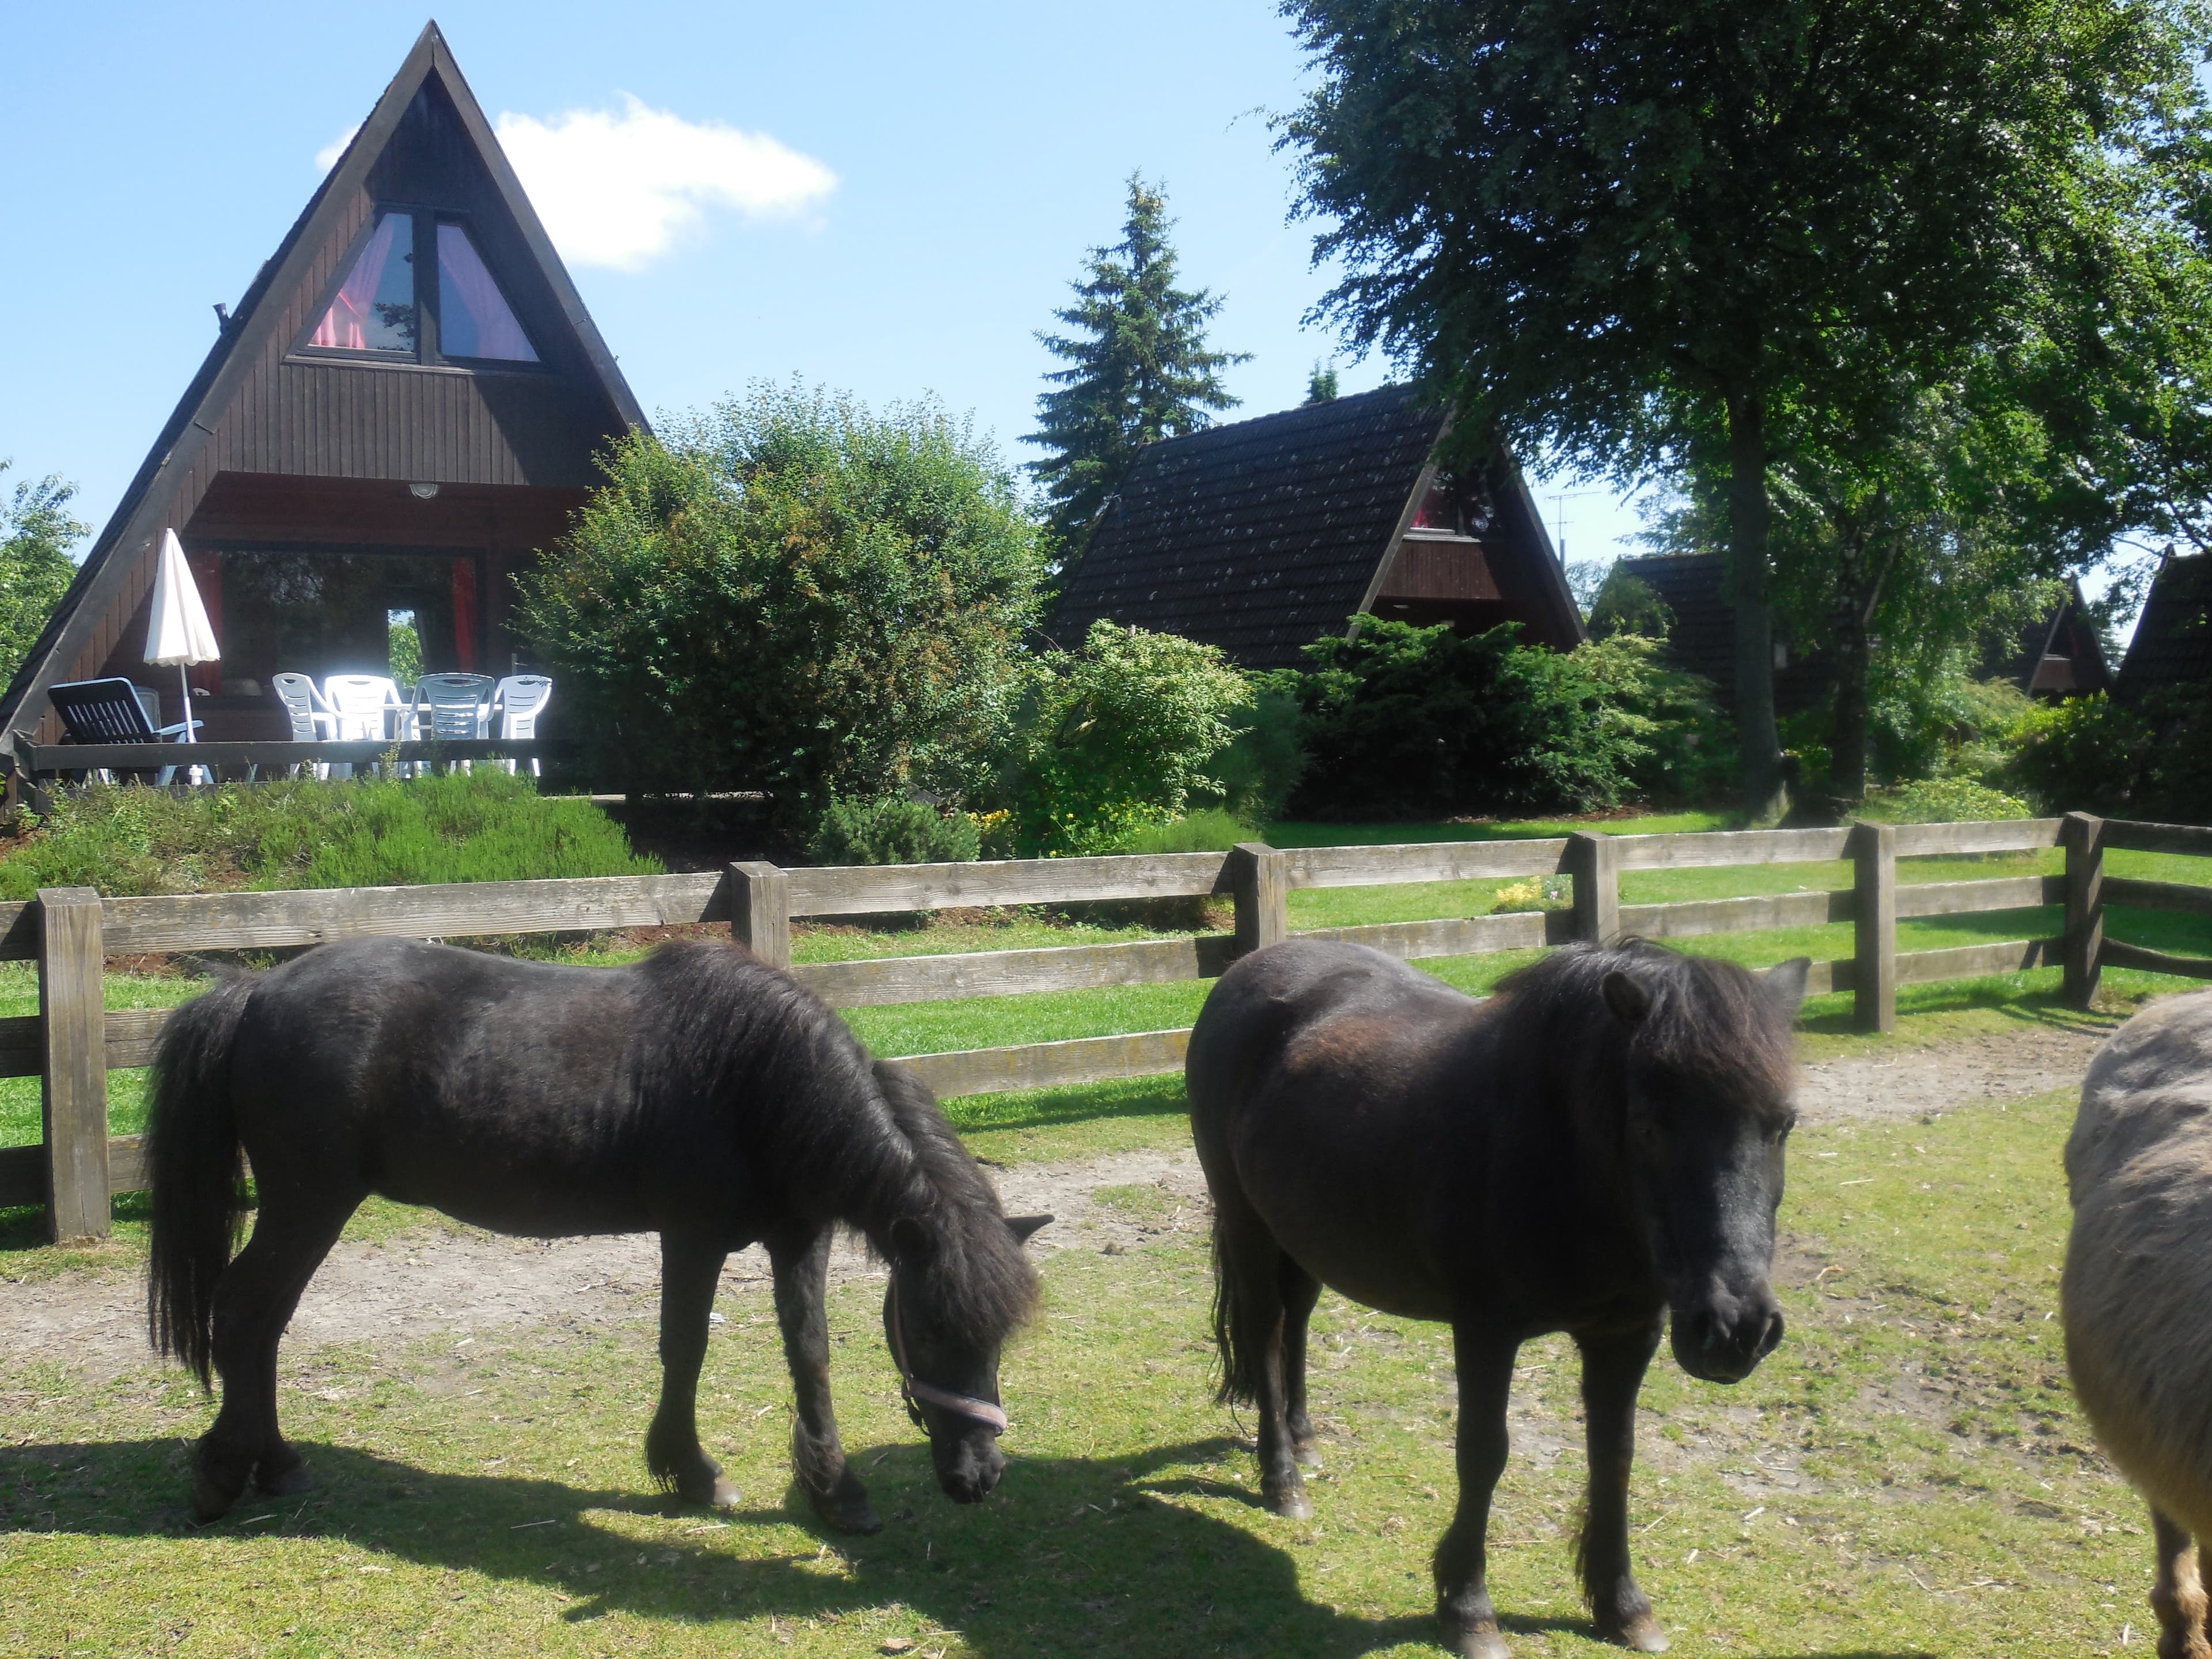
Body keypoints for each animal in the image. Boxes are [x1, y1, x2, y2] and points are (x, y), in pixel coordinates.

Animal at [147, 942, 1044, 1539]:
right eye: (928, 1327)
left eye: (999, 1336)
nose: (980, 1477)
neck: (753, 1077)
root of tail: (256, 991)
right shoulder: (693, 1237)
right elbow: (685, 1348)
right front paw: (690, 1472)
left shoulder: (800, 1238)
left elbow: (811, 1355)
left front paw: (835, 1491)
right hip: (308, 1206)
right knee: (245, 1312)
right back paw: (223, 1475)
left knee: (264, 1323)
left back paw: (276, 1464)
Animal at [1185, 942, 1805, 1654]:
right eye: (1650, 1126)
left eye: (1784, 1124)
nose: (1736, 1329)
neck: (1557, 1155)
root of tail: (1250, 968)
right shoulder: (1486, 1330)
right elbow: (1483, 1453)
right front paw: (1467, 1608)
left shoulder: (1628, 1336)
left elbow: (1615, 1456)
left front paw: (1623, 1606)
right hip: (1248, 1223)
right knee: (1265, 1331)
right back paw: (1282, 1478)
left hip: (1303, 1234)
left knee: (1297, 1323)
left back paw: (1304, 1439)